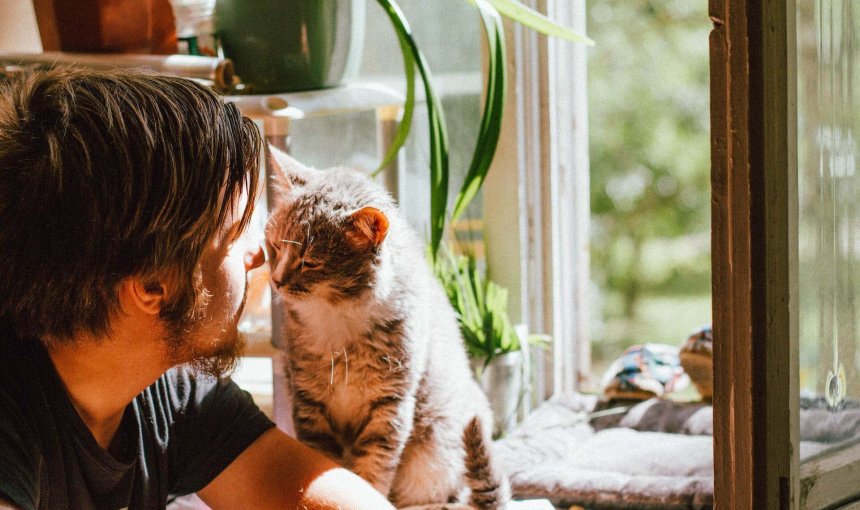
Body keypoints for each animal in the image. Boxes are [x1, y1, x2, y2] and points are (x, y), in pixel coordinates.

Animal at [262, 145, 504, 508]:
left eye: (310, 262)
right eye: (275, 247)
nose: (276, 281)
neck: (336, 317)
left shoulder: (390, 405)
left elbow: (373, 469)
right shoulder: (309, 401)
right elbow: (326, 464)